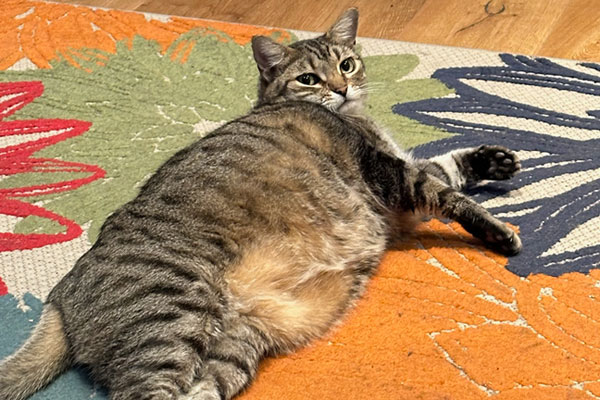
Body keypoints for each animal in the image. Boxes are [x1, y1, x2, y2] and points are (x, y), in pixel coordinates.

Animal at [0, 7, 520, 400]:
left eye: (347, 64)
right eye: (309, 79)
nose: (342, 88)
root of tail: (60, 295)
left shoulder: (401, 197)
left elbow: (446, 166)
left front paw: (494, 160)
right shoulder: (390, 176)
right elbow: (447, 194)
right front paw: (501, 231)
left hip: (235, 342)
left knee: (202, 389)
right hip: (172, 314)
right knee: (146, 393)